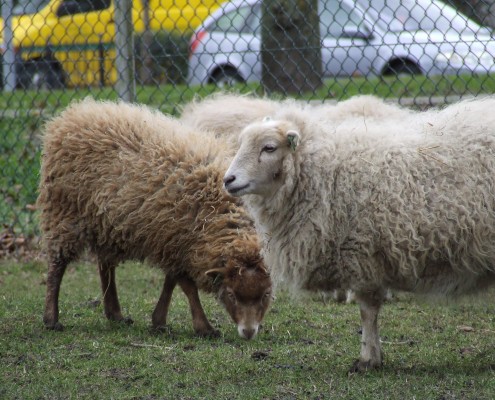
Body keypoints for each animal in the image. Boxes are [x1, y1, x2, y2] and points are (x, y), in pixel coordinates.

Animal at [38, 98, 274, 340]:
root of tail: (70, 115)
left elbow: (171, 281)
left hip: (105, 222)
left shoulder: (176, 243)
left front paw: (159, 321)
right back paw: (51, 319)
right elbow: (187, 286)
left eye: (266, 294)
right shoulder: (175, 241)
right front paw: (204, 327)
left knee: (105, 265)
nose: (248, 332)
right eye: (231, 294)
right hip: (65, 213)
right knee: (57, 265)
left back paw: (115, 314)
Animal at [224, 97, 495, 372]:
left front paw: (368, 359)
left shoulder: (362, 255)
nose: (228, 179)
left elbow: (367, 311)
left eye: (269, 148)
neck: (325, 173)